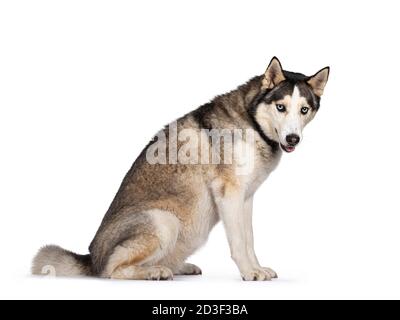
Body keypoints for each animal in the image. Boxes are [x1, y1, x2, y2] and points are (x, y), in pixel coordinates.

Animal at [32, 57, 330, 280]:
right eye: (281, 107)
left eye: (304, 110)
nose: (293, 139)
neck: (252, 123)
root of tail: (91, 257)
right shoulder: (229, 194)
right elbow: (238, 243)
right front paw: (248, 272)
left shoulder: (245, 198)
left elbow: (249, 240)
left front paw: (256, 268)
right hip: (164, 222)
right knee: (111, 270)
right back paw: (154, 272)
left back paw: (175, 266)